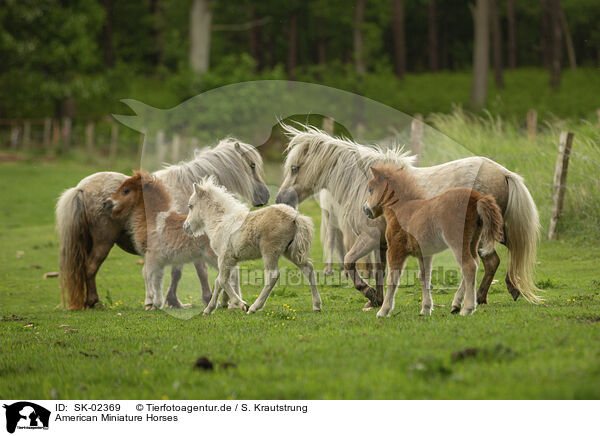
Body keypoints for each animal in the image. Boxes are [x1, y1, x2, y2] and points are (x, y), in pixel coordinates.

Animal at [105, 170, 244, 310]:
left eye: (125, 191)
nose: (107, 203)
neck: (153, 220)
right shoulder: (158, 260)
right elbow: (158, 278)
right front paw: (157, 303)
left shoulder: (152, 255)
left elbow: (147, 274)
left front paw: (150, 303)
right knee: (233, 274)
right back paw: (230, 303)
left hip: (216, 257)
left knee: (232, 275)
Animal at [364, 164, 504, 316]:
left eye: (370, 189)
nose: (365, 210)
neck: (401, 209)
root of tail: (477, 197)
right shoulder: (424, 254)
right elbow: (424, 277)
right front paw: (425, 309)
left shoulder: (396, 249)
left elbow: (392, 279)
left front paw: (384, 311)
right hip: (473, 241)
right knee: (475, 263)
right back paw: (456, 304)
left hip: (458, 242)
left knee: (469, 266)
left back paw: (467, 308)